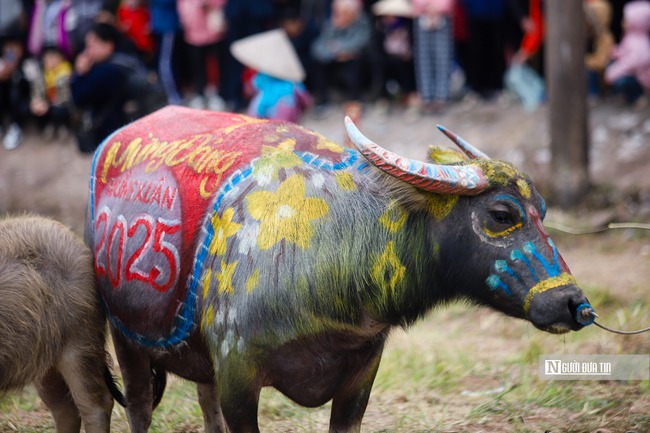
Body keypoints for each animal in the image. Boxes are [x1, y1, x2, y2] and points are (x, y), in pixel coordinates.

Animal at [86, 105, 592, 432]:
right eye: (502, 214)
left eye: (543, 211)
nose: (573, 304)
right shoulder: (238, 373)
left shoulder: (360, 376)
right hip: (125, 337)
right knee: (138, 406)